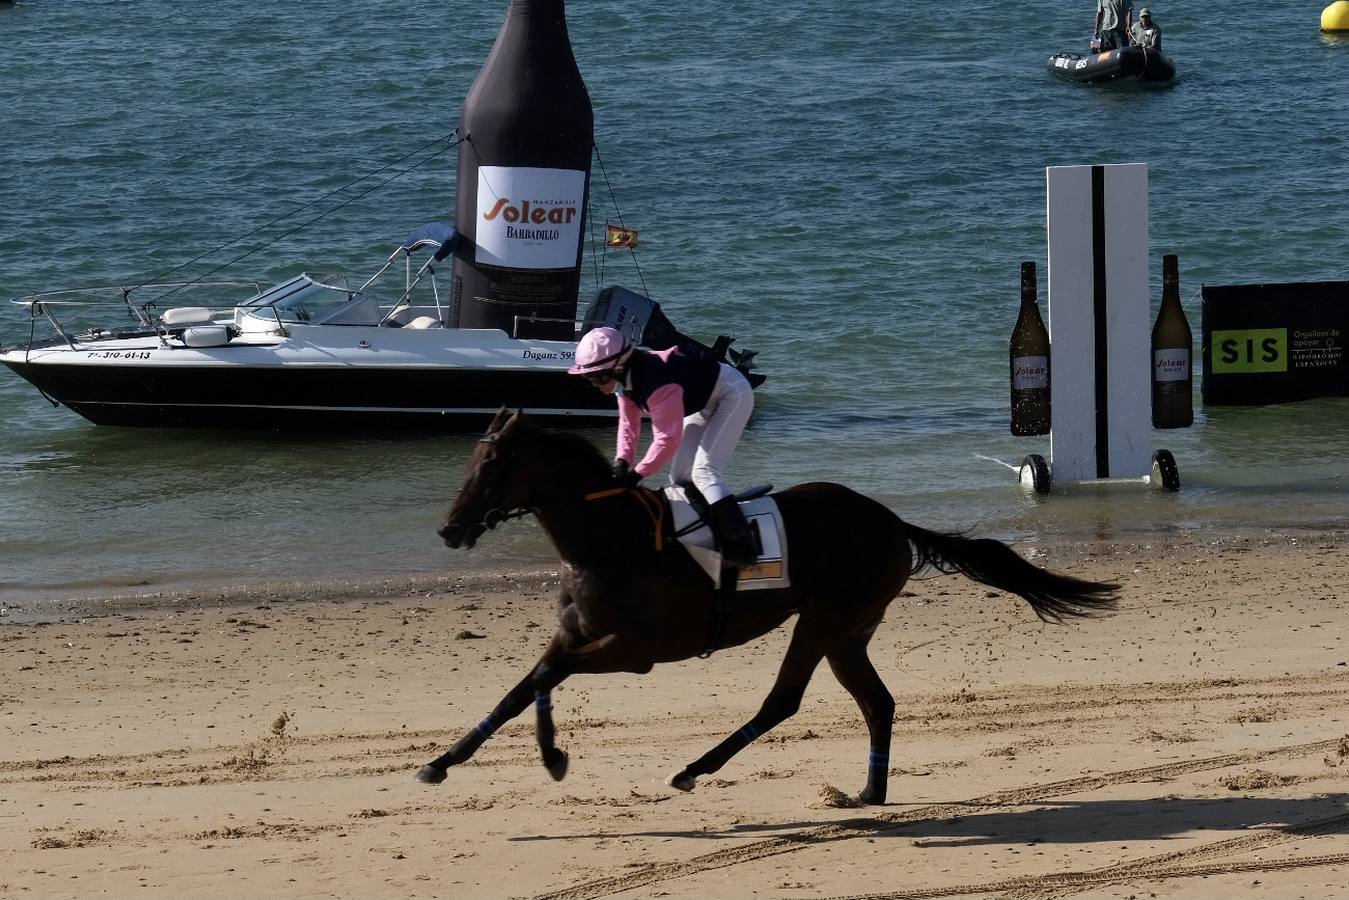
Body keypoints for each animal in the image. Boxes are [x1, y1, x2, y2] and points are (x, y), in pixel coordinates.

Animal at [420, 407, 1116, 804]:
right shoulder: (574, 636)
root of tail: (892, 521)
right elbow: (525, 685)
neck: (609, 540)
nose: (448, 530)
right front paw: (440, 763)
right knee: (877, 702)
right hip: (848, 631)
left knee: (784, 700)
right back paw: (869, 791)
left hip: (825, 618)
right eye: (470, 461)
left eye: (490, 465)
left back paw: (693, 770)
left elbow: (544, 678)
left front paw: (553, 758)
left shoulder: (635, 650)